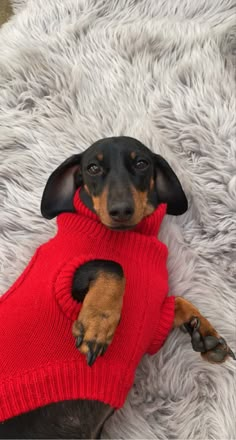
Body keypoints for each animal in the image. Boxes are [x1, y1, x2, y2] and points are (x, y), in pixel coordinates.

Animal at [0, 136, 234, 438]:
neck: (130, 236)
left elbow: (179, 302)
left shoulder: (153, 322)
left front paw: (204, 333)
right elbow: (113, 265)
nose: (121, 211)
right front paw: (98, 326)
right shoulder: (61, 277)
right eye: (92, 167)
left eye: (142, 163)